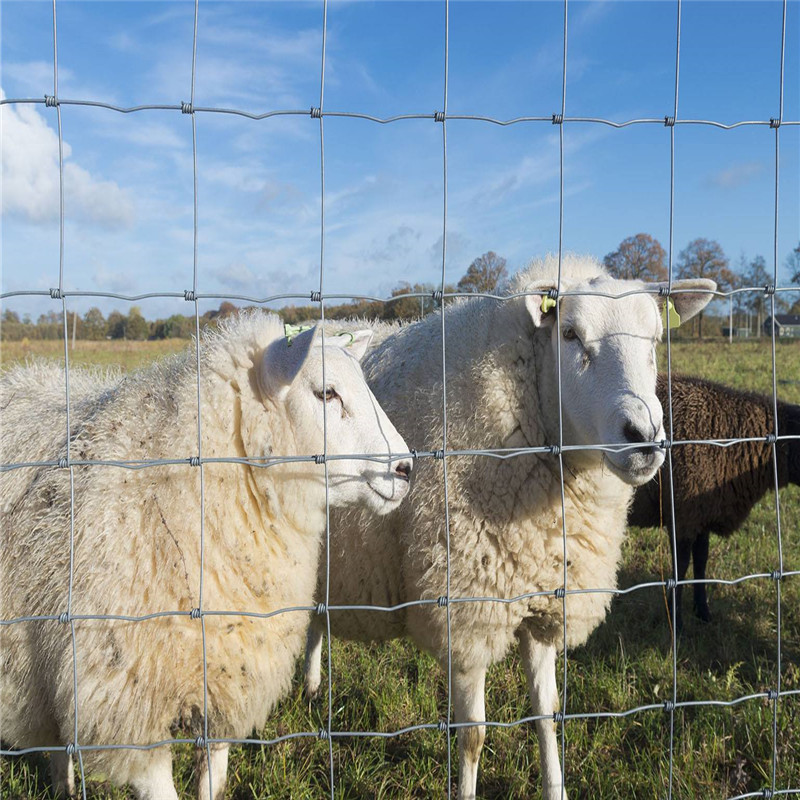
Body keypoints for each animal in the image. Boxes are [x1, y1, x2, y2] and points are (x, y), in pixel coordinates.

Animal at [304, 258, 712, 800]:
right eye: (570, 334)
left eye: (655, 340)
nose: (644, 438)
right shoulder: (465, 610)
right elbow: (473, 735)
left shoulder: (543, 598)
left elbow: (547, 713)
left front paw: (556, 788)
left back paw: (311, 687)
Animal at [632, 376, 800, 632]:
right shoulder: (683, 516)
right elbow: (680, 569)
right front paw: (676, 623)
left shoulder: (703, 513)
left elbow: (701, 562)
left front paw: (703, 612)